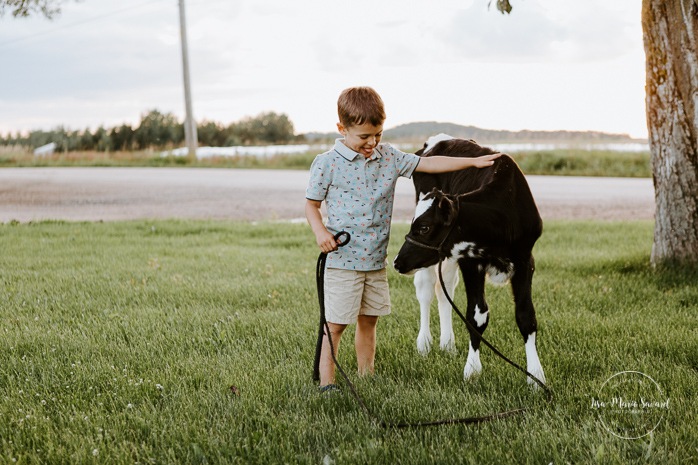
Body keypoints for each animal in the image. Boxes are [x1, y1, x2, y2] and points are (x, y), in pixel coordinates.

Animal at [392, 134, 544, 384]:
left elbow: (526, 316)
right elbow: (476, 316)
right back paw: (424, 343)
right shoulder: (471, 262)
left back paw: (447, 344)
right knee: (426, 289)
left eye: (424, 228)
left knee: (445, 289)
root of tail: (434, 141)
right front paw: (472, 370)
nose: (396, 261)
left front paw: (535, 376)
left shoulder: (525, 261)